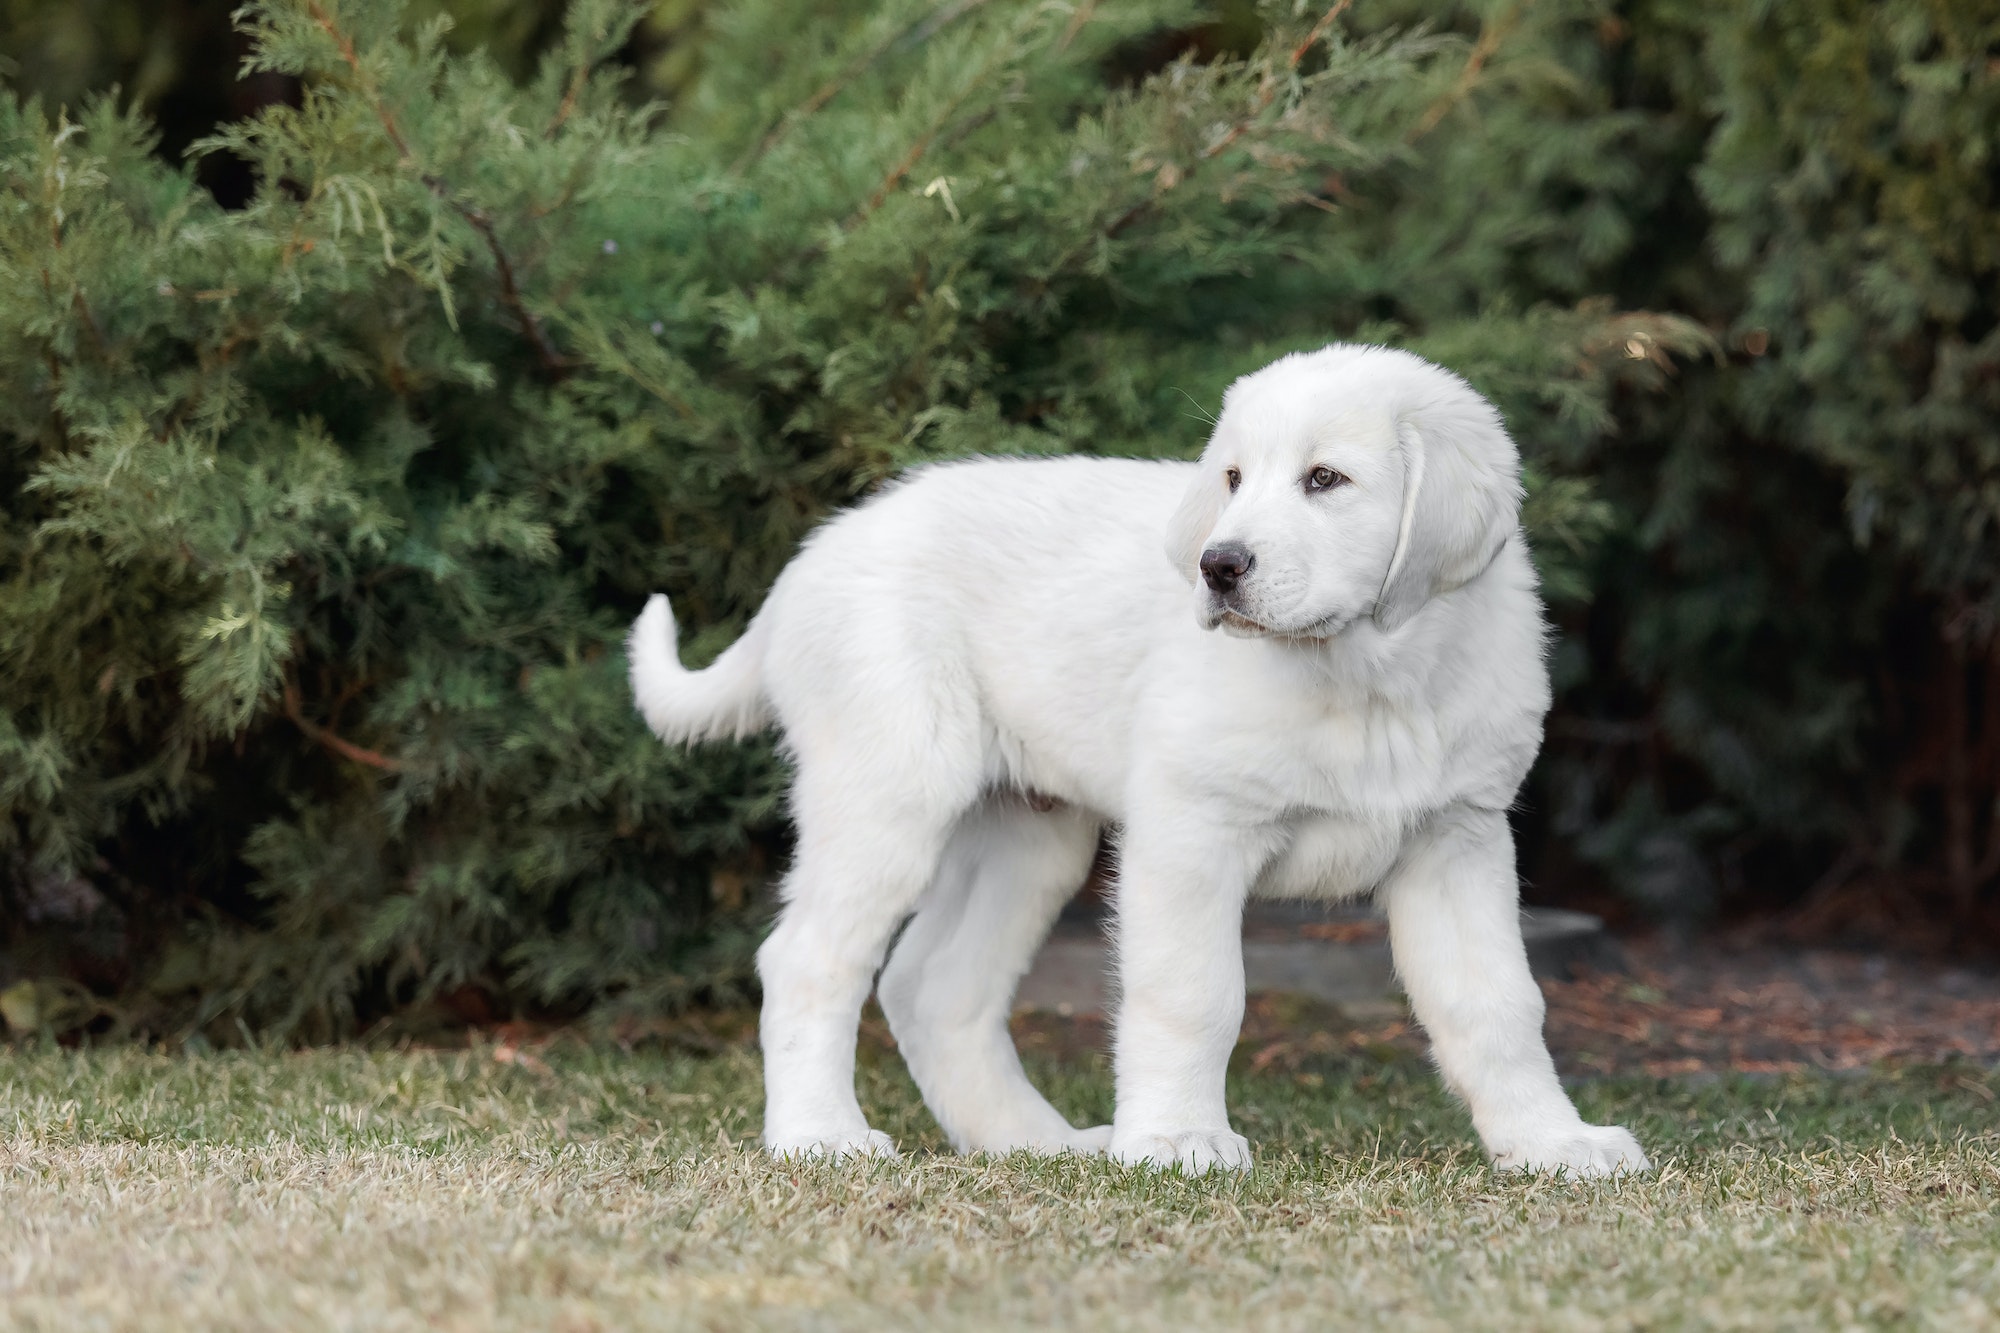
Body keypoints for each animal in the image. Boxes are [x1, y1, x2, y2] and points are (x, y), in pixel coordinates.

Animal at [632, 344, 1648, 1176]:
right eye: (1233, 476)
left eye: (1326, 478)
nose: (1218, 565)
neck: (1367, 677)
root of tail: (810, 558)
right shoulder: (1189, 833)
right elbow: (1191, 994)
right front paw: (1176, 1138)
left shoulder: (1458, 840)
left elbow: (1501, 1004)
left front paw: (1552, 1142)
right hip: (889, 792)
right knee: (806, 959)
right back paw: (820, 1135)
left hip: (1027, 836)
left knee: (934, 984)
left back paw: (1032, 1141)